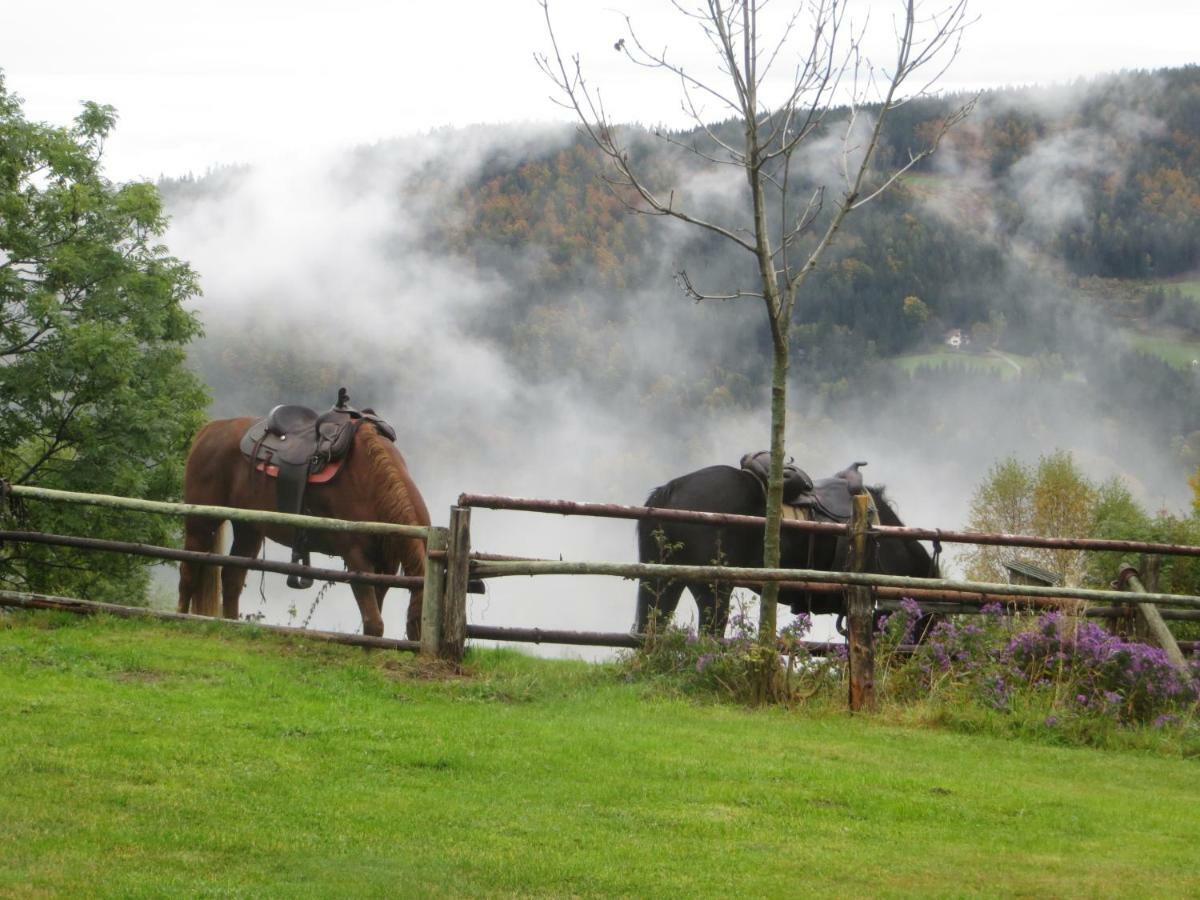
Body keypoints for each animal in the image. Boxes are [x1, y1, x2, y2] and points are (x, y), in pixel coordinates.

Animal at [174, 417, 427, 638]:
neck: (372, 482)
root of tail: (209, 430)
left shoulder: (385, 566)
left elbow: (373, 620)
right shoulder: (357, 560)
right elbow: (374, 623)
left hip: (249, 530)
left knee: (231, 579)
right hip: (200, 525)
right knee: (189, 573)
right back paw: (179, 618)